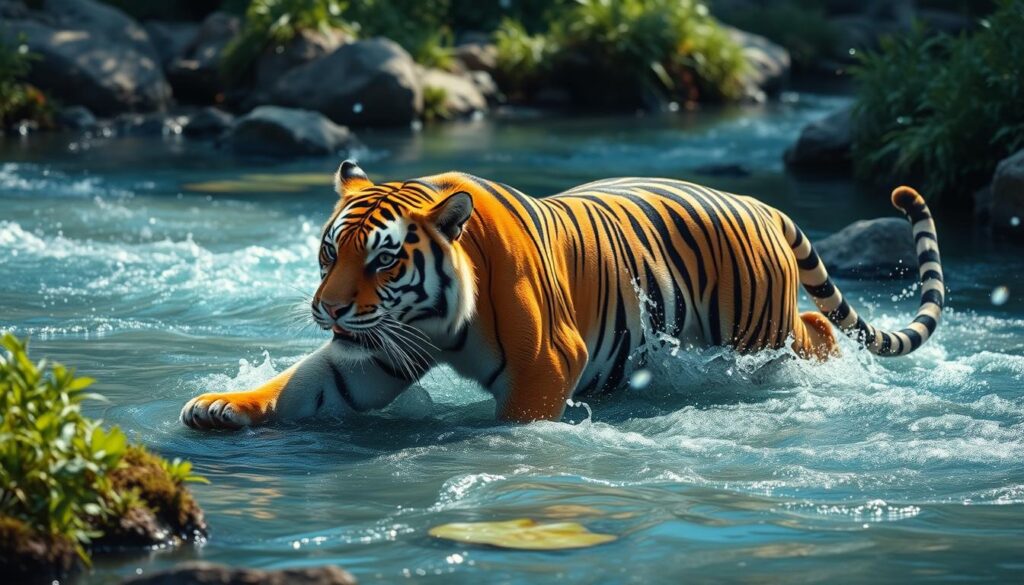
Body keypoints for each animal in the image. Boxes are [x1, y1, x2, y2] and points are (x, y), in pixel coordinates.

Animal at [181, 160, 944, 429]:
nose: (329, 309)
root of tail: (766, 204)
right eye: (329, 252)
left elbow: (518, 422)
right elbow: (304, 383)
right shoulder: (373, 353)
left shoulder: (545, 362)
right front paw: (220, 405)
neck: (433, 314)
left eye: (383, 260)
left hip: (754, 333)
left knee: (816, 329)